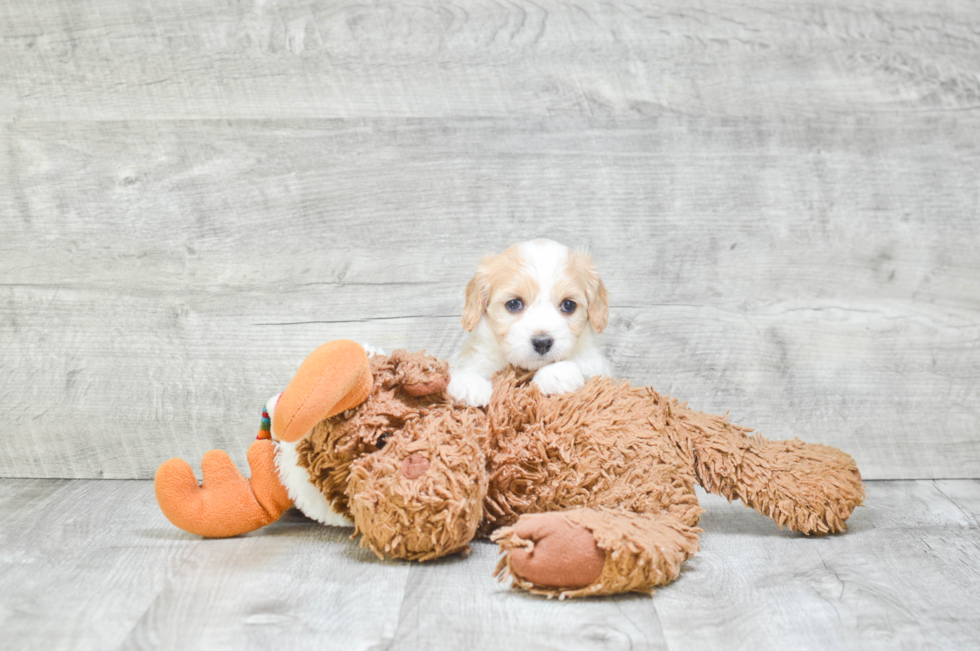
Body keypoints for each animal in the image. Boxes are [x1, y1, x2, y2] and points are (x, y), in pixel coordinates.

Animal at [448, 239, 608, 408]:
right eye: (514, 303)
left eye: (569, 305)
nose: (542, 342)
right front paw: (468, 384)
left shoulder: (598, 364)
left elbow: (586, 362)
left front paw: (555, 373)